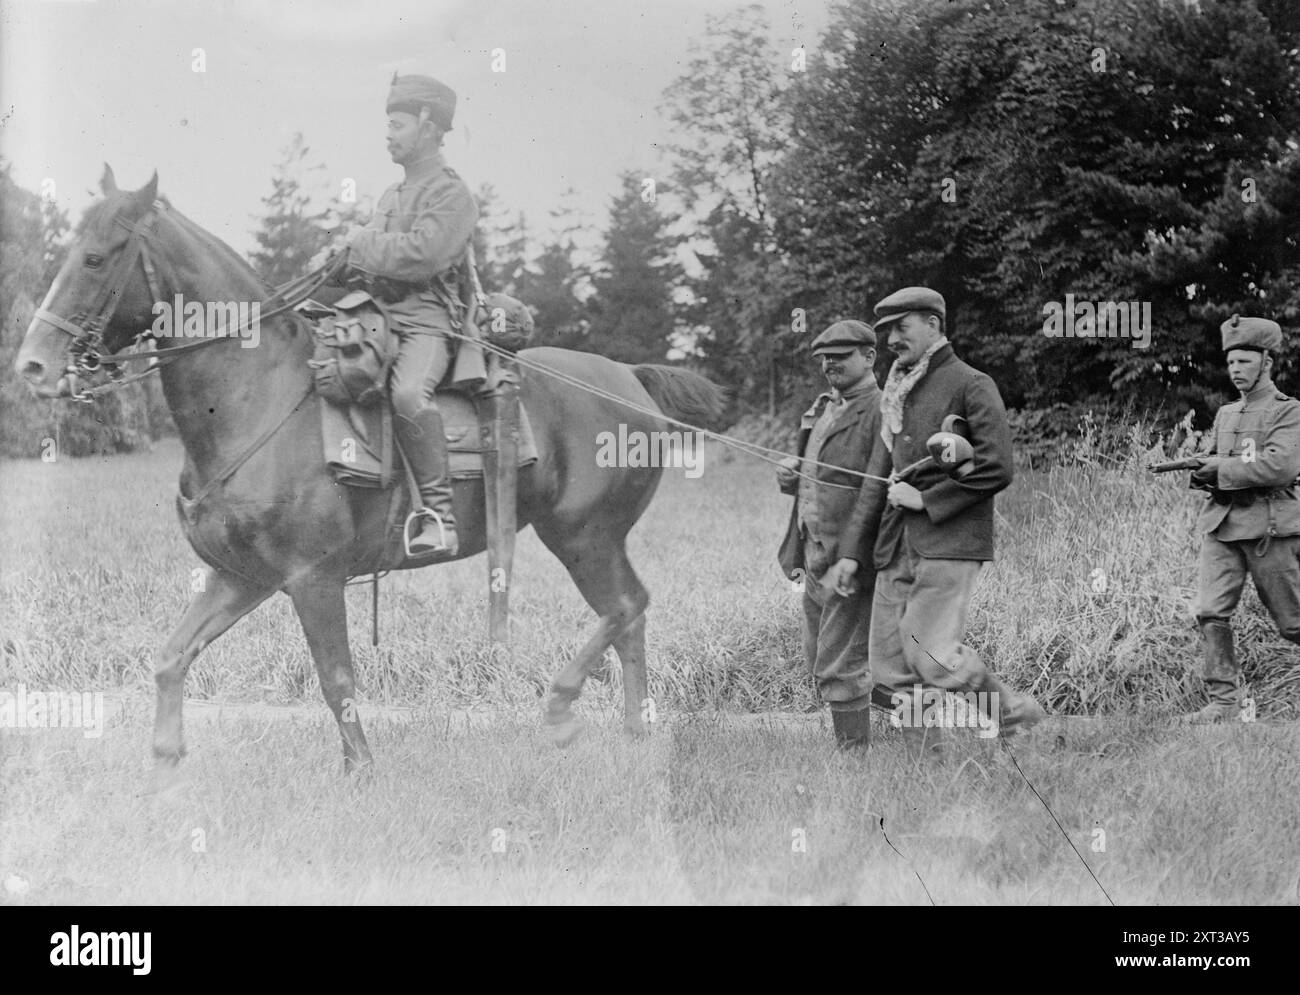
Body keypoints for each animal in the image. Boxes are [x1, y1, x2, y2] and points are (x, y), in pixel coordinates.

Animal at [12, 165, 722, 785]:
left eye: (96, 258)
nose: (32, 366)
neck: (257, 398)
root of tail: (632, 379)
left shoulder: (312, 579)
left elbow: (337, 679)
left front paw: (361, 772)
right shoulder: (242, 577)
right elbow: (169, 658)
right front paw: (163, 767)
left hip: (583, 537)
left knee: (627, 607)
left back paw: (561, 708)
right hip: (593, 541)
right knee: (629, 616)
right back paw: (633, 732)